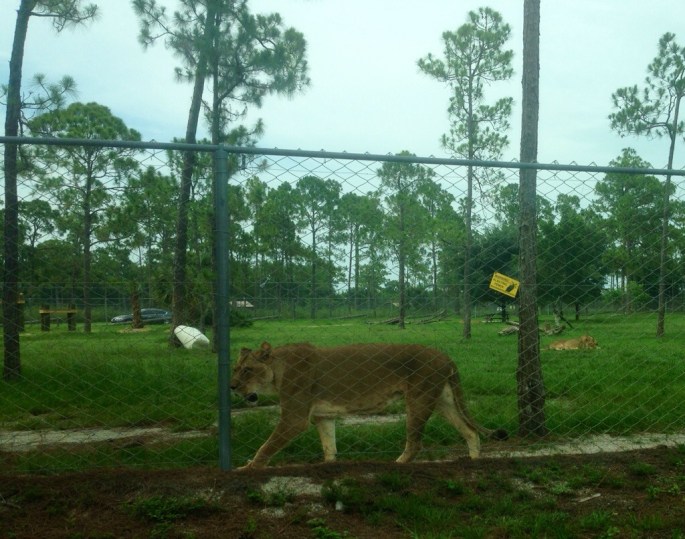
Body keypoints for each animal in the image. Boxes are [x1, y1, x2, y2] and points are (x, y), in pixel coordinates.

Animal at [230, 341, 507, 469]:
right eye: (235, 369)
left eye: (247, 370)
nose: (231, 386)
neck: (277, 372)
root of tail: (445, 355)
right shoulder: (323, 416)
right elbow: (329, 447)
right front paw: (328, 468)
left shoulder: (294, 419)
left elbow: (266, 446)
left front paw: (248, 468)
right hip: (443, 401)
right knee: (469, 431)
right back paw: (473, 463)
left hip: (418, 399)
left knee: (415, 443)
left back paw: (397, 465)